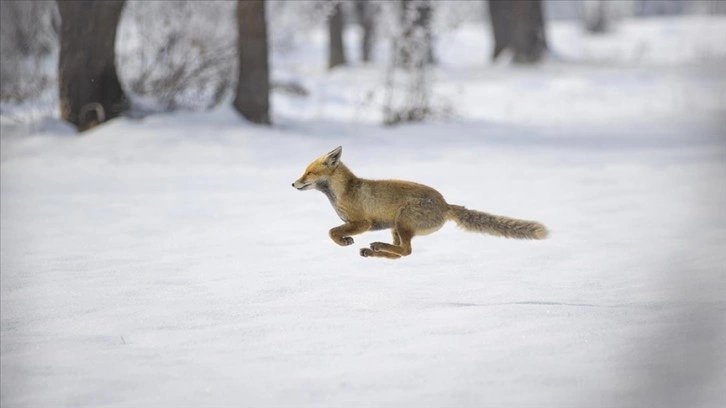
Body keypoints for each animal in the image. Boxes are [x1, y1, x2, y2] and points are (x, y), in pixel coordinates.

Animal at [292, 147, 548, 260]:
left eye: (309, 173)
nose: (293, 184)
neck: (344, 192)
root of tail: (446, 204)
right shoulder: (361, 223)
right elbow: (332, 231)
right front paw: (347, 242)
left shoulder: (363, 223)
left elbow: (331, 232)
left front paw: (344, 241)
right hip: (396, 227)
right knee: (402, 254)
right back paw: (374, 250)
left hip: (402, 222)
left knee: (406, 251)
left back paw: (376, 247)